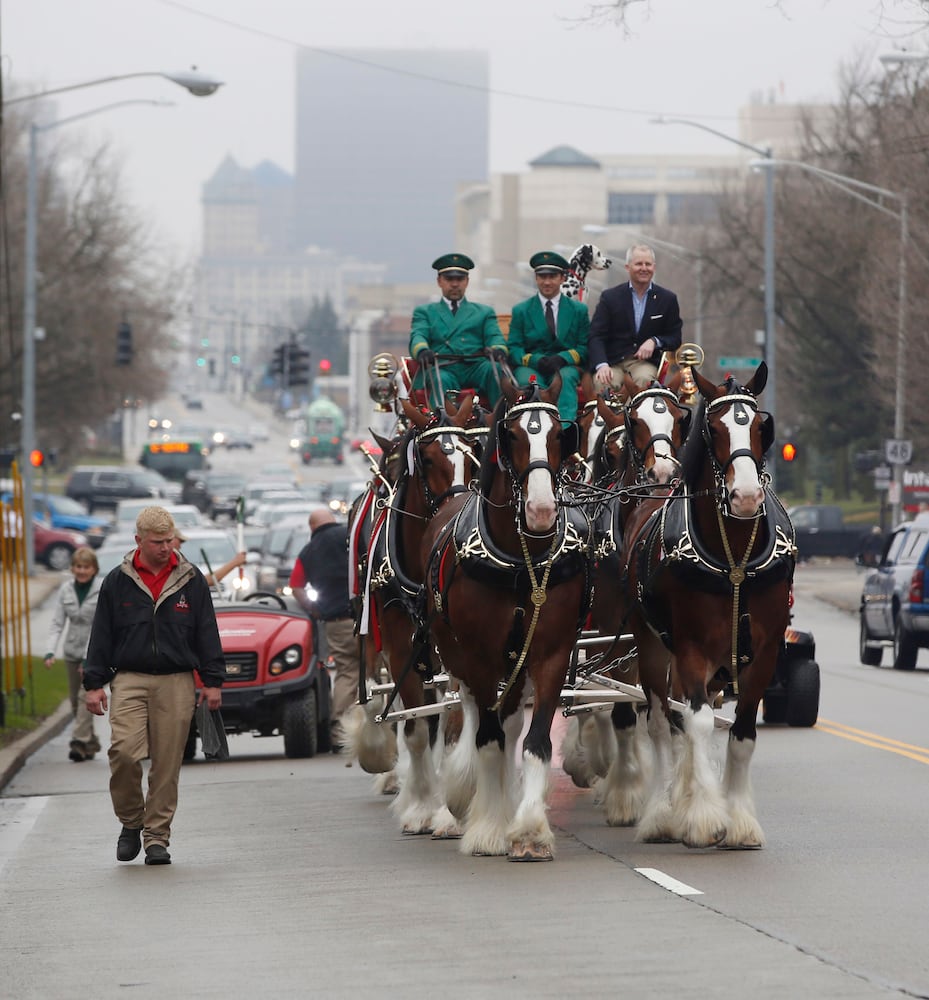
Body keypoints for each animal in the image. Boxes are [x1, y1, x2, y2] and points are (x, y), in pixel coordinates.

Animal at [418, 376, 588, 860]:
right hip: (456, 653)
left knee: (509, 718)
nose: (541, 510)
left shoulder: (551, 653)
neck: (518, 561)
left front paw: (529, 829)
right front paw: (489, 827)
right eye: (511, 436)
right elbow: (488, 739)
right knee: (474, 713)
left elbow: (534, 741)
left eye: (559, 434)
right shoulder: (478, 656)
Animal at [624, 364, 792, 848]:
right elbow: (695, 724)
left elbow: (743, 734)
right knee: (661, 722)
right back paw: (662, 813)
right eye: (713, 428)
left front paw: (738, 820)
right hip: (650, 645)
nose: (746, 497)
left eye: (759, 427)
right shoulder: (691, 648)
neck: (733, 558)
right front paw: (703, 817)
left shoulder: (764, 652)